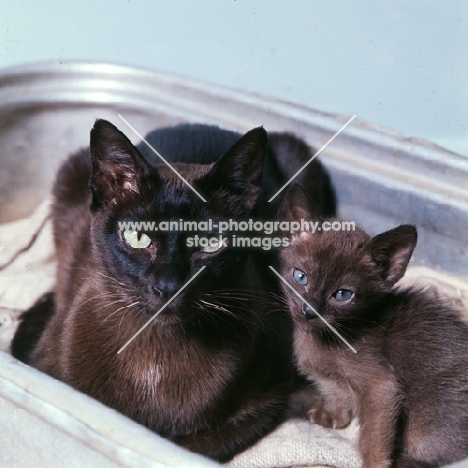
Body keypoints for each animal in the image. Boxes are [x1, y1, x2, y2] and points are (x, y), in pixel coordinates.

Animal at [12, 119, 334, 460]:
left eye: (209, 243)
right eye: (138, 238)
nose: (169, 286)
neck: (155, 356)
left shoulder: (263, 403)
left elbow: (185, 446)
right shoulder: (51, 375)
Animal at [280, 186, 468, 468]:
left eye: (343, 295)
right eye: (300, 277)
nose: (309, 311)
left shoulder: (382, 388)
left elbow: (373, 440)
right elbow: (334, 393)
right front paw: (333, 415)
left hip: (422, 427)